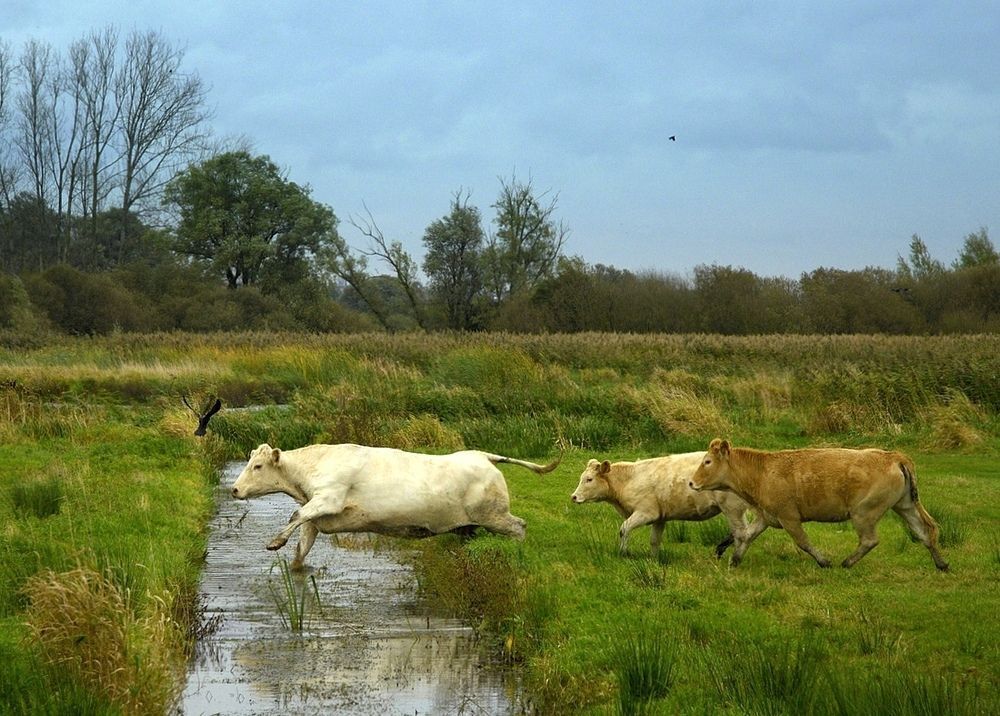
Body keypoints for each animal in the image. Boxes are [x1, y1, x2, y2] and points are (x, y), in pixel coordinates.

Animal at [232, 443, 559, 569]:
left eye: (257, 466)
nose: (234, 489)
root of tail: (482, 455)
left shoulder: (329, 498)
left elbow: (296, 514)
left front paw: (274, 542)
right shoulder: (317, 514)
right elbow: (303, 544)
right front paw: (295, 567)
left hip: (494, 515)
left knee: (519, 527)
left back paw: (519, 554)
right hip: (471, 524)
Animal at [571, 453, 764, 562]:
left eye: (589, 479)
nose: (573, 496)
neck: (630, 478)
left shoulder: (645, 513)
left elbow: (624, 529)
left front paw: (623, 553)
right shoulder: (659, 517)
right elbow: (655, 540)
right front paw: (654, 559)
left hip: (732, 509)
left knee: (742, 533)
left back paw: (733, 558)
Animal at [688, 438, 949, 571]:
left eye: (707, 461)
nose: (691, 482)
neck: (762, 472)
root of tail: (894, 456)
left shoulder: (788, 517)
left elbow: (803, 542)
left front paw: (824, 561)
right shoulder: (766, 516)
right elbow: (745, 536)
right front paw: (734, 559)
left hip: (864, 512)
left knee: (870, 540)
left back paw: (847, 562)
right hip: (905, 505)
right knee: (925, 531)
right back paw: (941, 563)